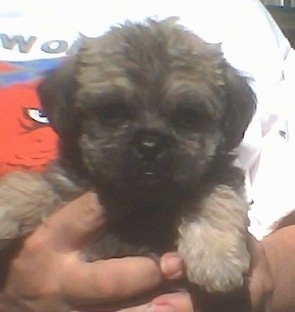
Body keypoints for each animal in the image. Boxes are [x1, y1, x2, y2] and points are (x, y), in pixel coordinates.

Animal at [0, 18, 256, 310]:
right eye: (112, 112)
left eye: (188, 116)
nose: (149, 145)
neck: (144, 202)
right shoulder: (66, 186)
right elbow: (31, 185)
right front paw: (6, 208)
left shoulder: (215, 174)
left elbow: (216, 199)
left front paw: (216, 260)